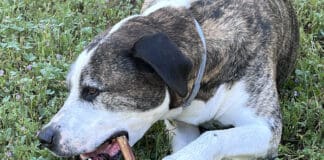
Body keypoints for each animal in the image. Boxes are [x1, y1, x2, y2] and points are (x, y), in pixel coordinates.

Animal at [38, 0, 298, 159]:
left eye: (92, 91)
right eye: (71, 88)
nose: (45, 137)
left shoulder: (266, 129)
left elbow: (213, 138)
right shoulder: (180, 125)